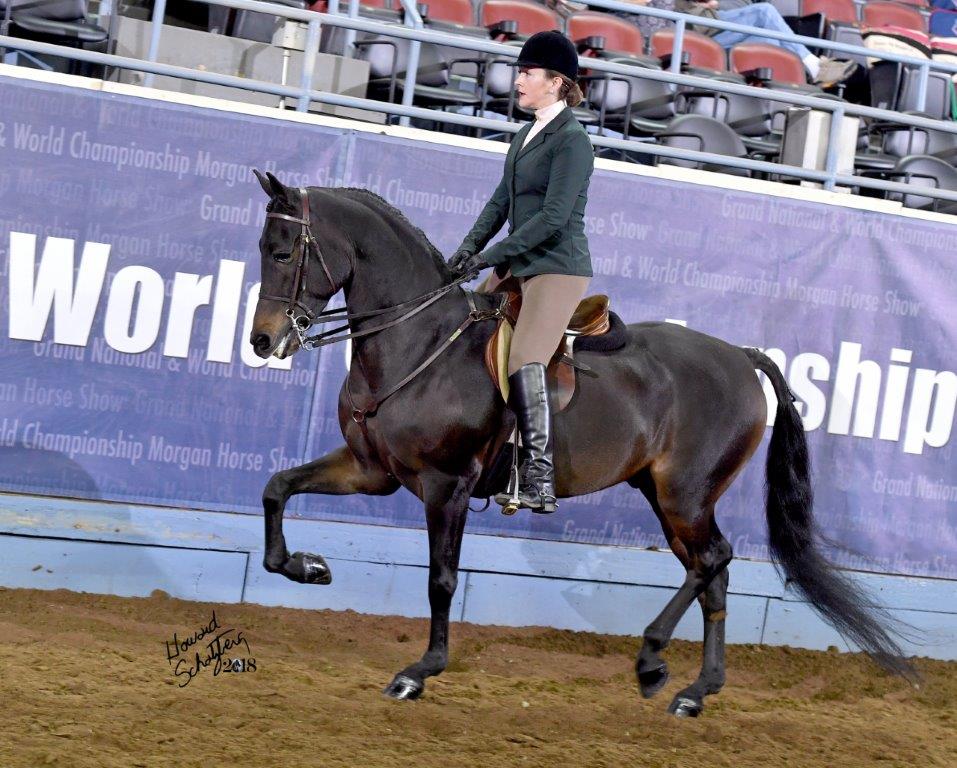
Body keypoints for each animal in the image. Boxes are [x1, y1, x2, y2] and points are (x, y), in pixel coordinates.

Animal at [248, 169, 915, 717]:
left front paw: (419, 672)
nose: (263, 341)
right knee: (711, 572)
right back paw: (696, 691)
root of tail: (741, 357)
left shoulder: (447, 486)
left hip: (684, 494)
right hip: (666, 495)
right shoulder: (372, 470)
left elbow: (442, 580)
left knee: (714, 561)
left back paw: (652, 660)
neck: (420, 342)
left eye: (282, 252)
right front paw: (307, 568)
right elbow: (277, 488)